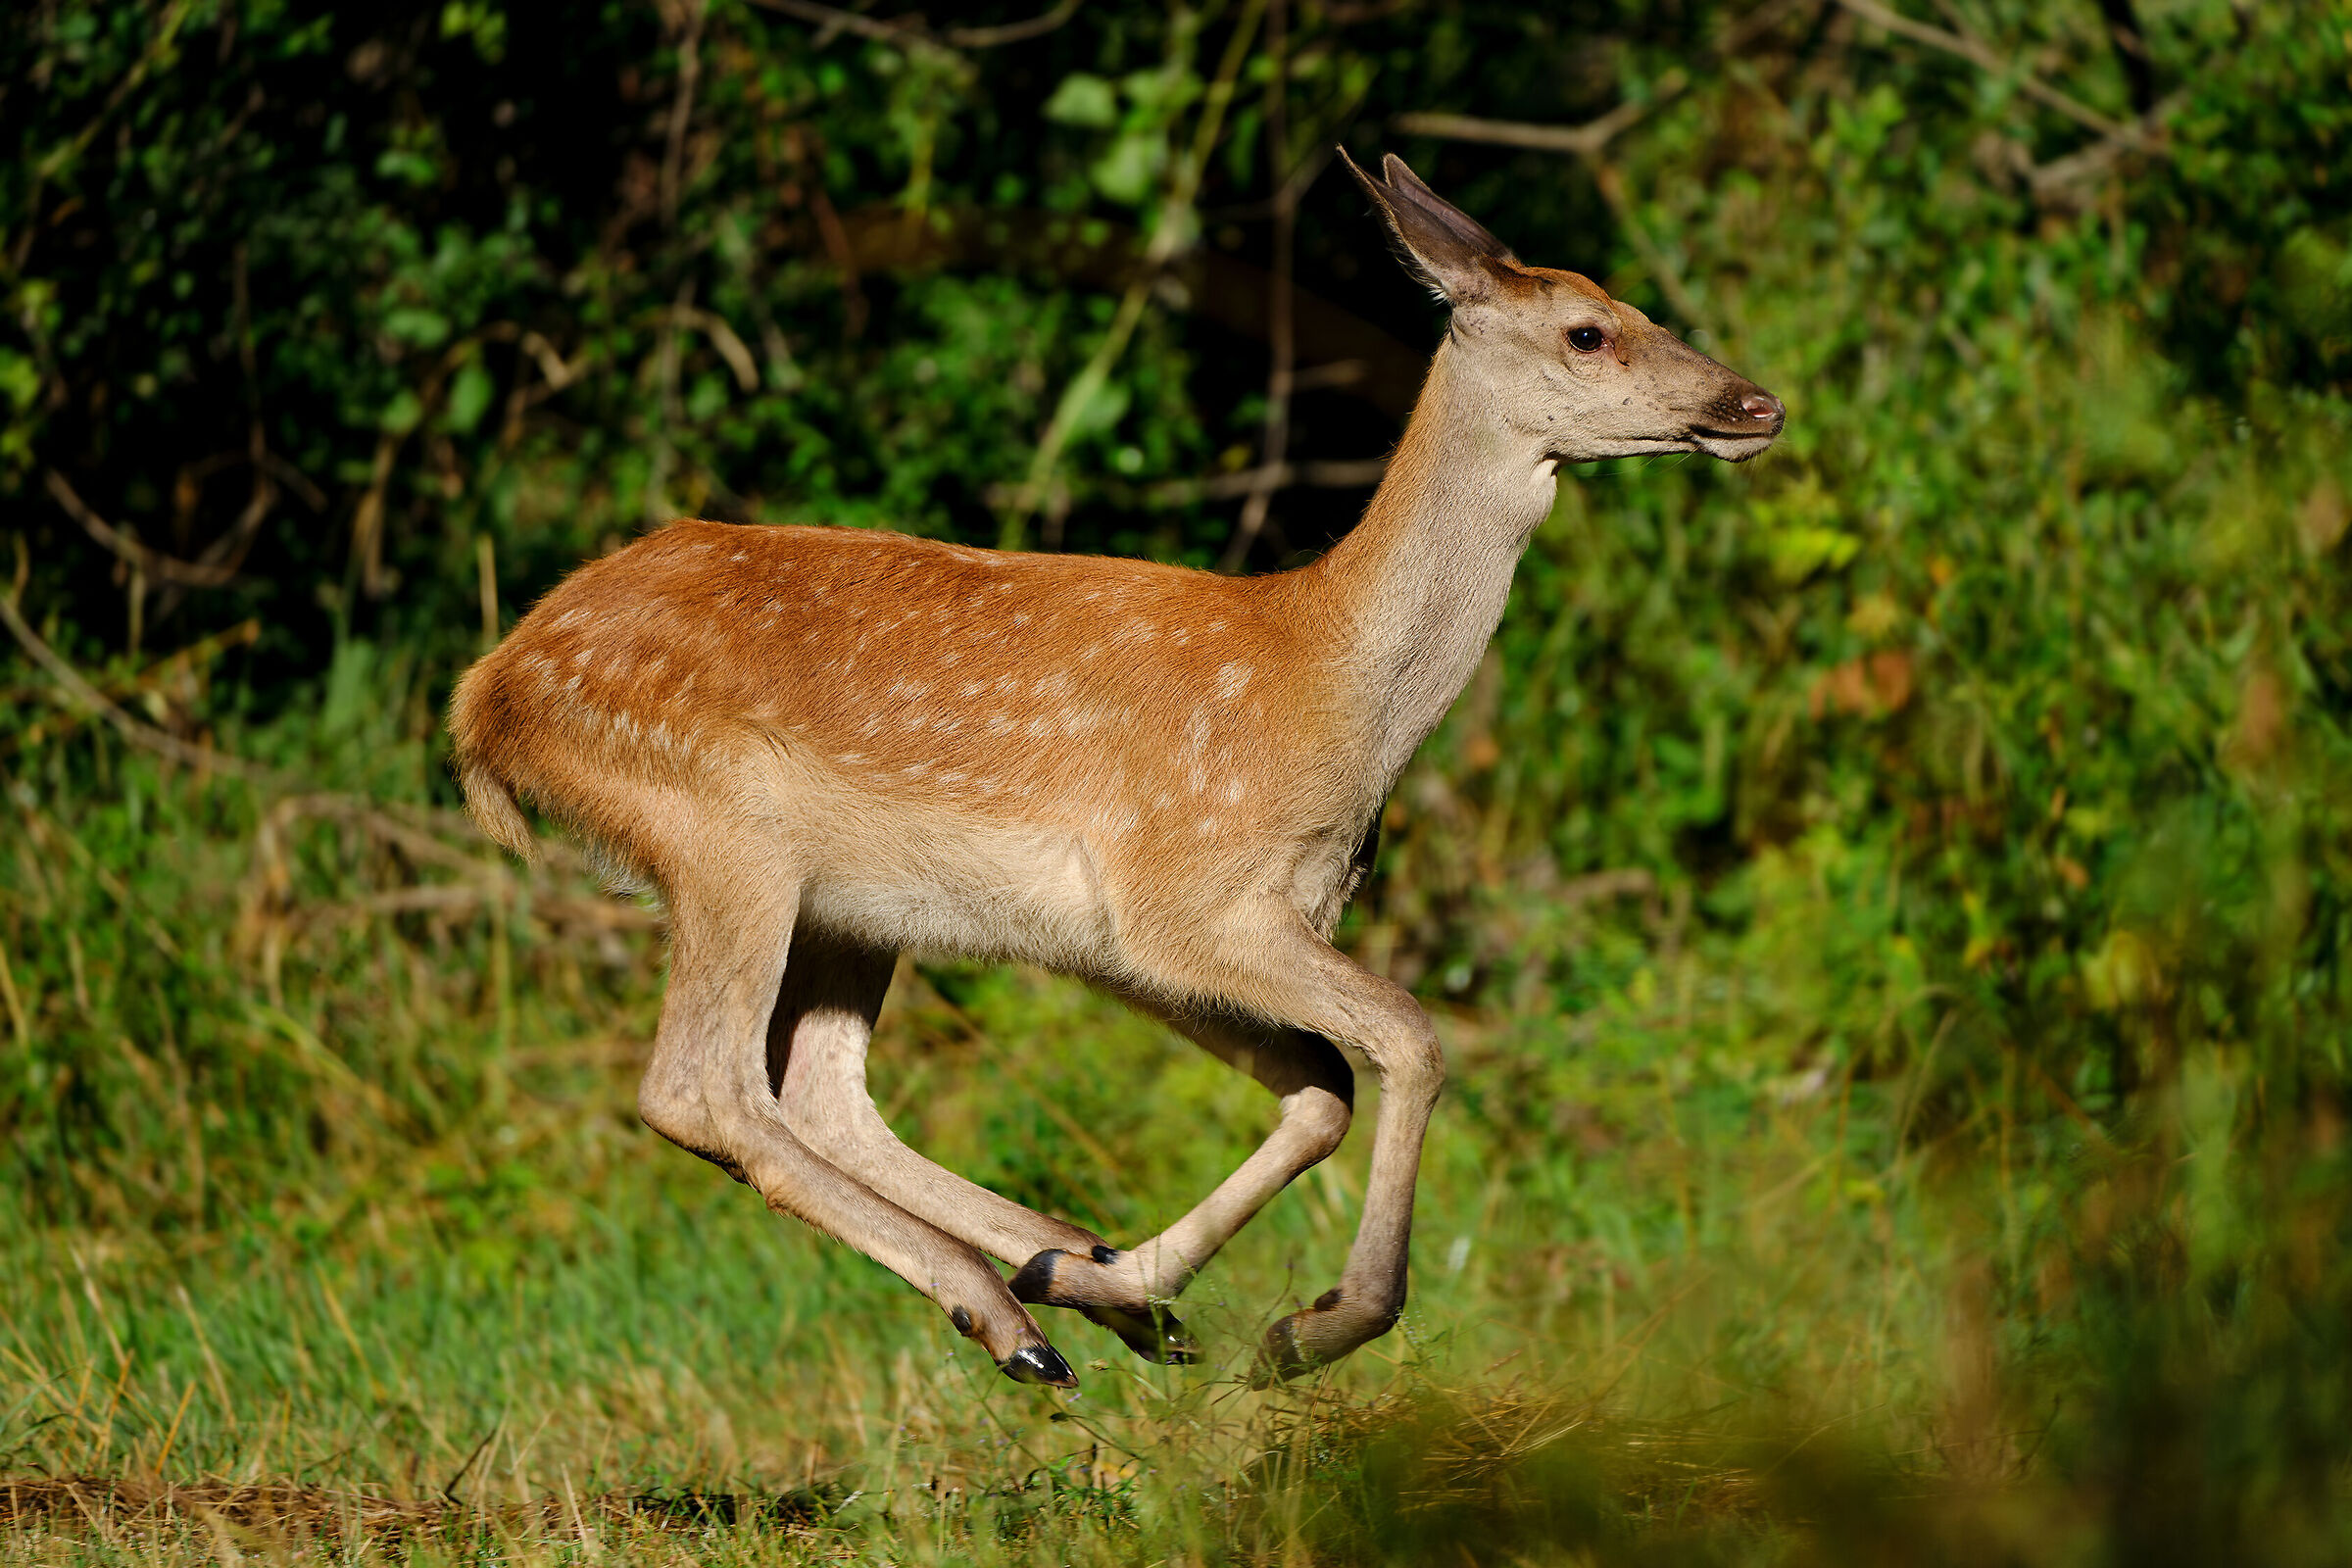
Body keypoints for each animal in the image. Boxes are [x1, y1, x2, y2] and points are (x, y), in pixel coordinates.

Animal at [447, 153, 1783, 1390]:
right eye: (1589, 329)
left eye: (1638, 307)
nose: (1755, 402)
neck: (1331, 681)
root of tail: (489, 691)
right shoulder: (1179, 889)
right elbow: (1410, 1037)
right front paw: (1320, 1326)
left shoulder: (1144, 942)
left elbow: (1320, 1087)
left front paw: (1152, 1286)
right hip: (722, 827)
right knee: (701, 1087)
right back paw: (1019, 1318)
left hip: (850, 902)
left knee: (822, 1090)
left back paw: (1067, 1276)